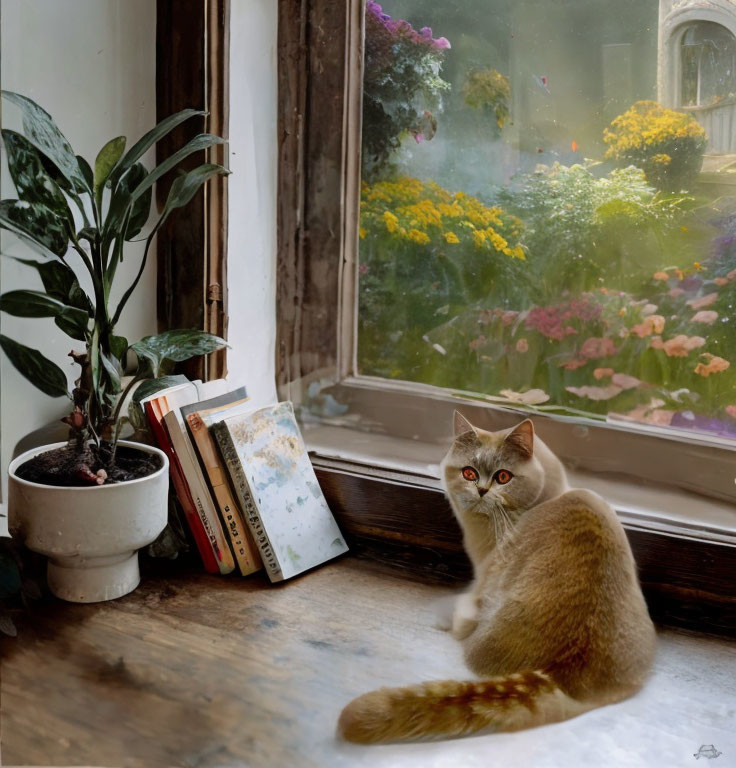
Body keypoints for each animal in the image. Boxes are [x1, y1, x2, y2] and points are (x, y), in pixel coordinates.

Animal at [340, 414, 656, 744]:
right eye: (469, 472)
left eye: (503, 477)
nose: (481, 489)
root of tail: (564, 672)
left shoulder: (488, 574)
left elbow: (468, 607)